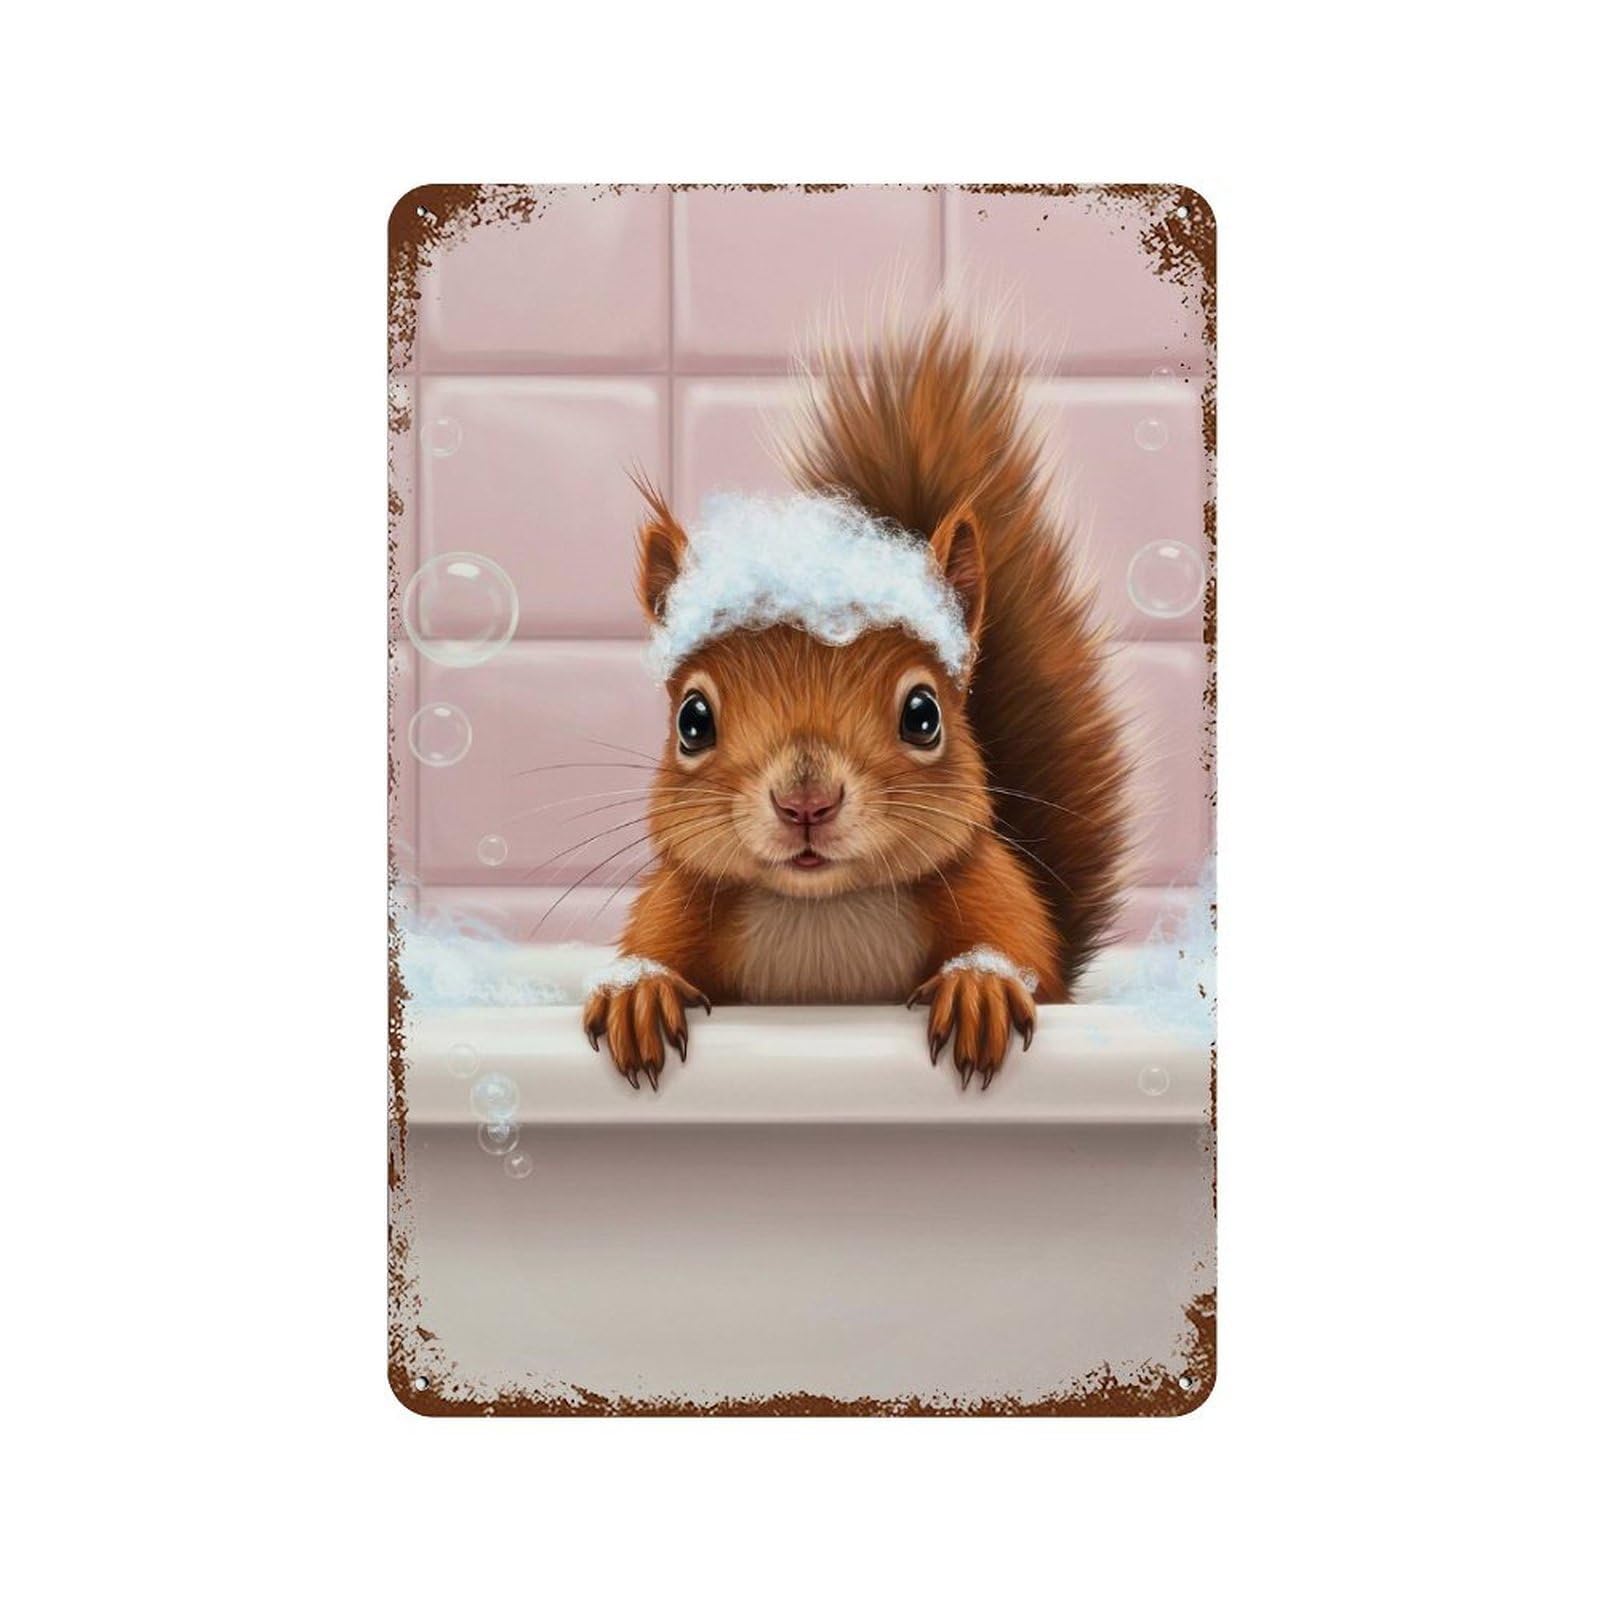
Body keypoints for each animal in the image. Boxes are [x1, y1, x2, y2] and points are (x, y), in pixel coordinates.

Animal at [581, 312, 1131, 1090]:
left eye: (924, 714)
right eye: (692, 721)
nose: (806, 803)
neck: (822, 912)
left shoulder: (994, 888)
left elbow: (1023, 950)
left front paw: (981, 984)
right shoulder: (675, 902)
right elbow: (650, 947)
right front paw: (639, 990)